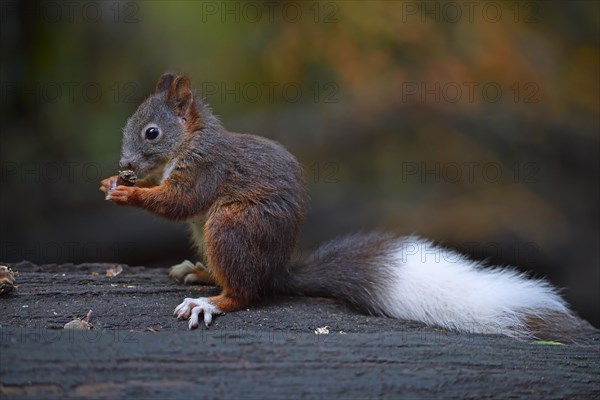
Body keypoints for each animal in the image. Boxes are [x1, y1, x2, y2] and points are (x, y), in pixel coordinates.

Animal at [99, 73, 596, 342]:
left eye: (151, 133)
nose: (124, 165)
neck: (189, 142)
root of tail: (278, 270)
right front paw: (113, 182)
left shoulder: (206, 169)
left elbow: (179, 201)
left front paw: (129, 193)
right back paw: (199, 272)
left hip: (231, 226)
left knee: (246, 293)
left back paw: (210, 301)